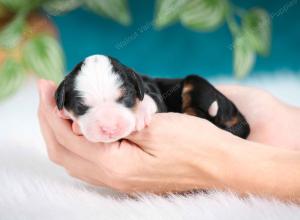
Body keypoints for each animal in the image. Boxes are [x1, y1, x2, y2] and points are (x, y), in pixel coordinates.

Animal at [54, 54, 251, 142]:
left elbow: (150, 100)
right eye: (81, 107)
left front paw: (140, 114)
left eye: (126, 98)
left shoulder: (155, 95)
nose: (109, 128)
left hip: (197, 84)